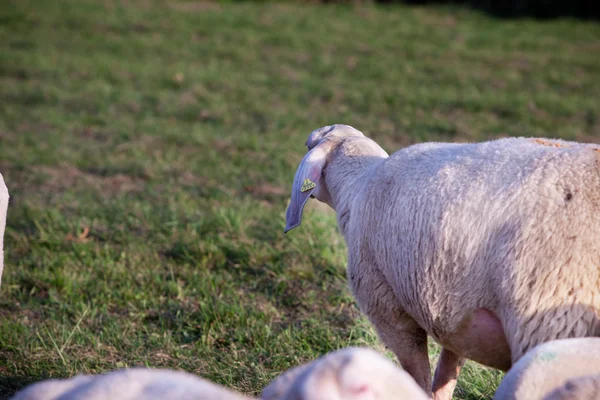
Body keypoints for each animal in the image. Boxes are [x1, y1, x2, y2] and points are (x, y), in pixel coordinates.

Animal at [284, 123, 600, 398]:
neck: (358, 186)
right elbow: (446, 373)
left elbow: (418, 375)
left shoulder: (388, 307)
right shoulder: (460, 314)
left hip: (555, 322)